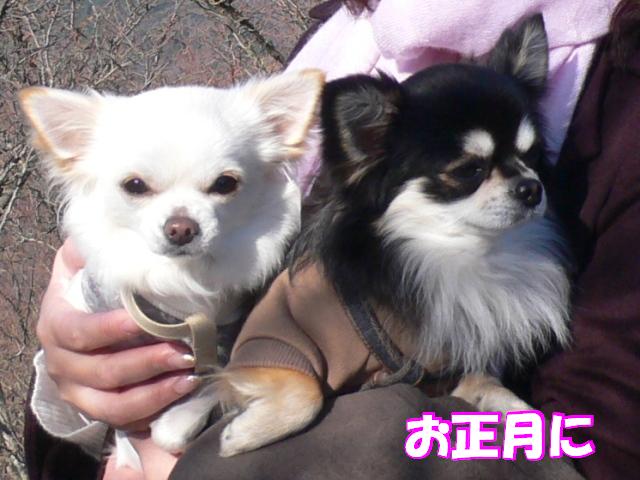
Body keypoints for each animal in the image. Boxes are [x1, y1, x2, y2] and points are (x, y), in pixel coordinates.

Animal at [19, 69, 324, 469]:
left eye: (225, 183)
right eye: (134, 185)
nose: (181, 228)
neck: (184, 278)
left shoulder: (223, 347)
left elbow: (183, 416)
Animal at [215, 14, 571, 457]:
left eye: (532, 155)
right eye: (468, 170)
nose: (532, 187)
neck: (460, 255)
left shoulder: (456, 369)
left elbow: (500, 395)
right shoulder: (272, 338)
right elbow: (307, 392)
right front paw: (242, 435)